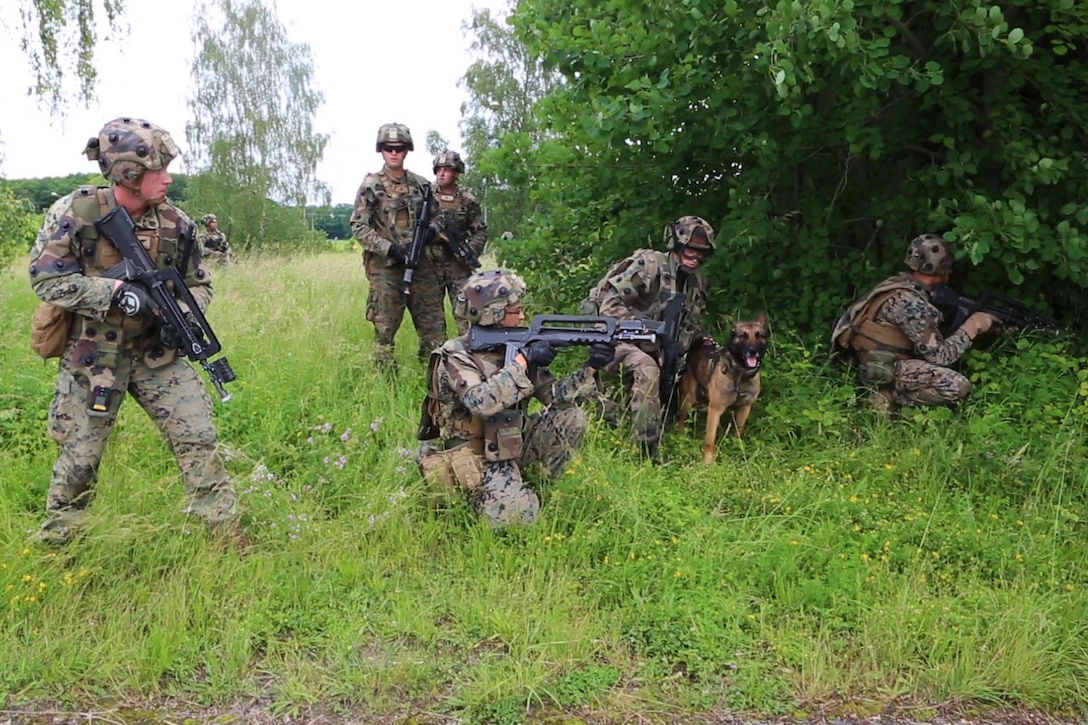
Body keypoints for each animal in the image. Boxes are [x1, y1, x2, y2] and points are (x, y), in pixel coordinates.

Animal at [674, 315, 770, 463]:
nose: (753, 350)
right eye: (743, 336)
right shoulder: (715, 409)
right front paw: (707, 462)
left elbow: (737, 432)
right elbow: (709, 440)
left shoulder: (744, 408)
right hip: (689, 399)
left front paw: (737, 450)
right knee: (682, 420)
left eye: (759, 336)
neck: (740, 374)